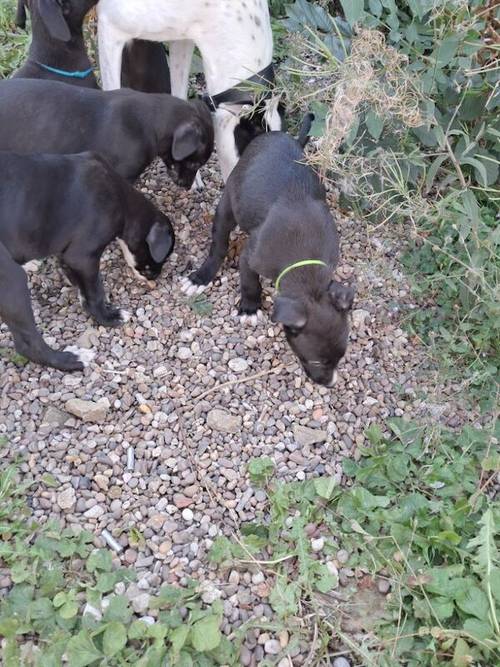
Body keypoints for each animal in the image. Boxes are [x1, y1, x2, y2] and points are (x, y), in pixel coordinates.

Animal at [0, 149, 175, 374]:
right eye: (164, 256)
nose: (156, 277)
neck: (121, 199)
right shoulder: (83, 257)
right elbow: (95, 292)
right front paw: (108, 317)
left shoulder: (69, 256)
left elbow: (82, 288)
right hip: (11, 281)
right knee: (27, 344)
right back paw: (72, 359)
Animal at [184, 115, 356, 386]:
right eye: (317, 361)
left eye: (341, 357)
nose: (329, 384)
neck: (305, 265)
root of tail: (276, 135)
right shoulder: (250, 257)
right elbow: (249, 282)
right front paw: (249, 308)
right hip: (228, 203)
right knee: (218, 244)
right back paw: (201, 276)